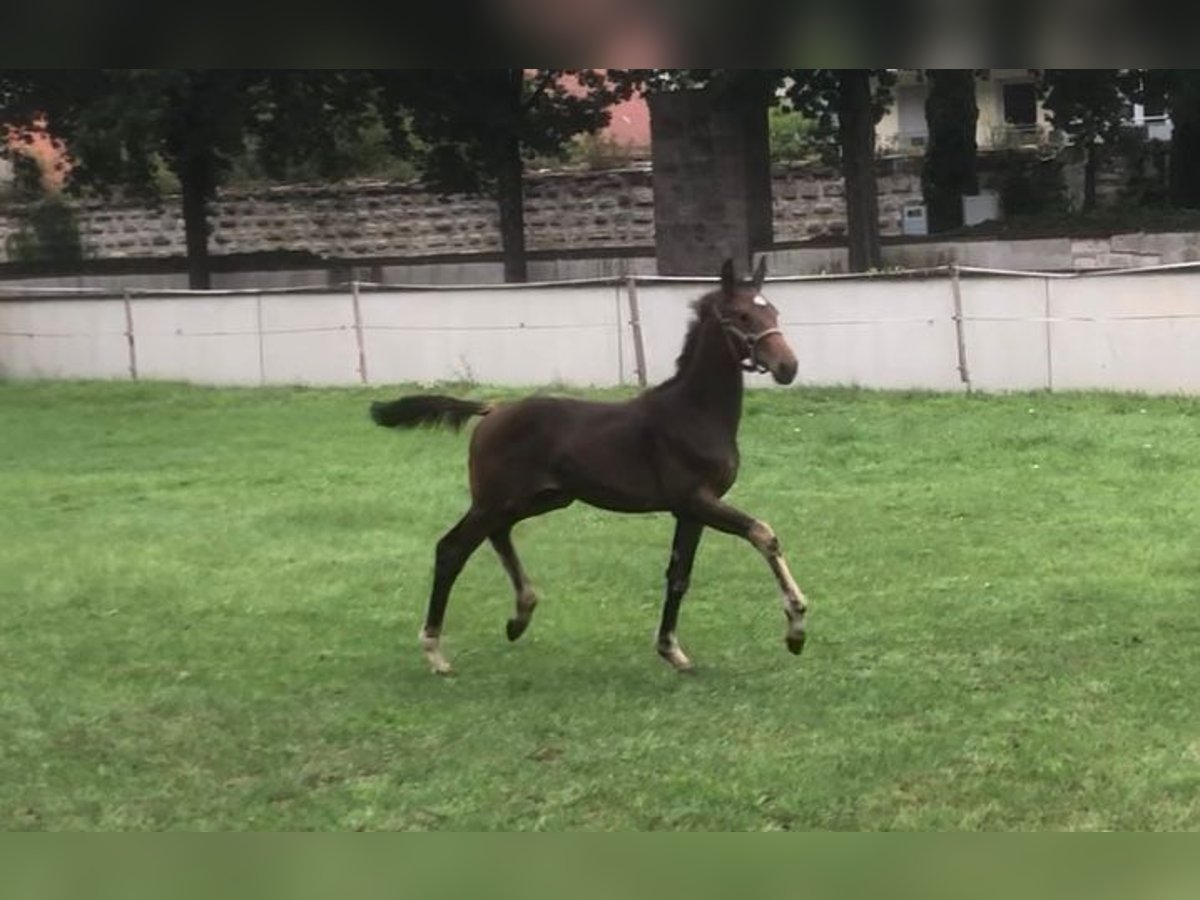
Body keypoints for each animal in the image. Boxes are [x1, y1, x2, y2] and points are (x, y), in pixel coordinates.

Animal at [370, 257, 808, 674]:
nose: (789, 366)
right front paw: (796, 627)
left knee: (497, 535)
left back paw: (520, 616)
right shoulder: (697, 500)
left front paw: (672, 651)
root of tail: (492, 409)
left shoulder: (691, 511)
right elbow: (763, 534)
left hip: (538, 499)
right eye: (743, 316)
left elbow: (678, 577)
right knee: (451, 550)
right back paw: (436, 652)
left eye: (774, 311)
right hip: (495, 500)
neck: (694, 412)